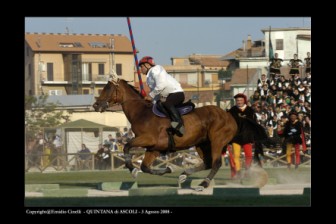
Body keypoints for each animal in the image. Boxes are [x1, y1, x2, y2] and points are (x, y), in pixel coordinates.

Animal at [93, 78, 238, 190]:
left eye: (108, 89)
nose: (96, 105)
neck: (141, 113)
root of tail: (228, 115)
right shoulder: (154, 148)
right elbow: (145, 167)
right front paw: (169, 169)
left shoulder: (148, 139)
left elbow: (127, 147)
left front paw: (132, 169)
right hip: (202, 144)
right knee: (208, 162)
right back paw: (184, 174)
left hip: (217, 141)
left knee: (216, 163)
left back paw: (203, 184)